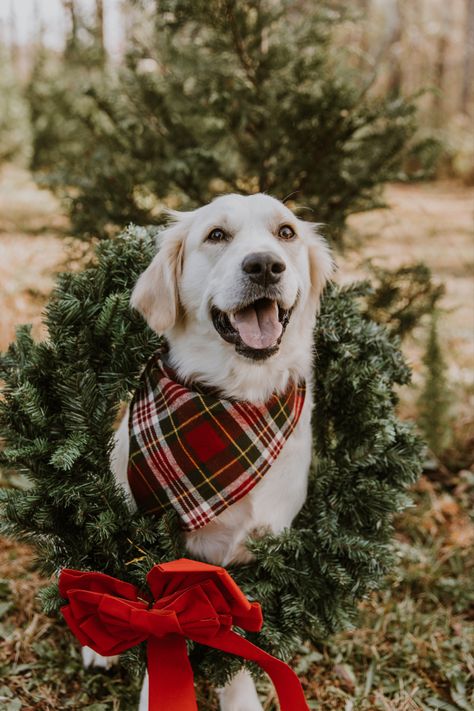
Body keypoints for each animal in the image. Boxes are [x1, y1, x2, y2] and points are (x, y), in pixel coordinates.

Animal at [82, 193, 334, 711]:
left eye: (286, 232)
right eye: (216, 235)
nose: (265, 266)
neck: (238, 400)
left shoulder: (258, 549)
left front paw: (240, 699)